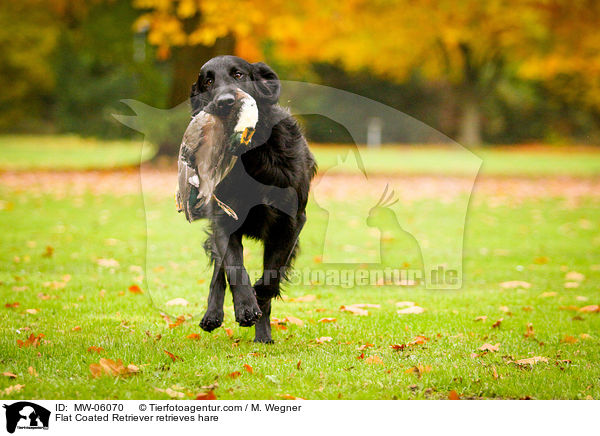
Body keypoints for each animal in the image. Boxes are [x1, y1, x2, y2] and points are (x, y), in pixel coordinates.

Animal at [190, 56, 316, 344]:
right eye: (208, 81)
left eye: (239, 74)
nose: (225, 101)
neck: (251, 155)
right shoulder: (224, 220)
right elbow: (234, 267)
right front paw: (246, 307)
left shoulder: (291, 222)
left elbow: (272, 276)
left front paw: (259, 300)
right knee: (220, 269)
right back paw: (212, 315)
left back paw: (263, 336)